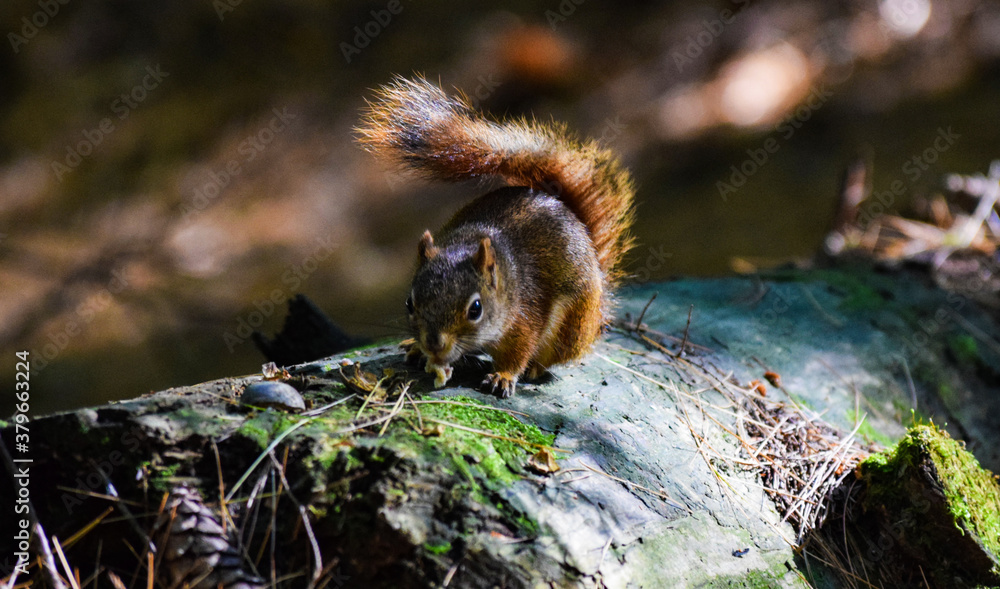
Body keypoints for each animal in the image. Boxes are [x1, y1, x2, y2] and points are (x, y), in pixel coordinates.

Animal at [356, 76, 635, 398]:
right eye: (409, 304)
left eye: (475, 309)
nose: (434, 345)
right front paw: (419, 350)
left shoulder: (525, 317)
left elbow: (518, 351)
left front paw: (503, 376)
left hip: (572, 325)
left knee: (553, 355)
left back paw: (535, 368)